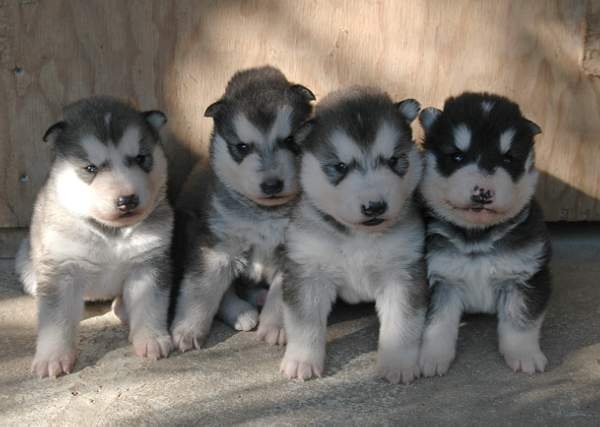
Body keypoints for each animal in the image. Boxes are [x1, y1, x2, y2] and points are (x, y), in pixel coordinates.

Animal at [14, 97, 173, 378]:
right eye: (90, 168)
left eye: (141, 158)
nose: (127, 200)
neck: (111, 233)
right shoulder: (62, 269)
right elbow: (56, 318)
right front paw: (53, 357)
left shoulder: (149, 263)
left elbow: (151, 303)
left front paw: (152, 339)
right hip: (27, 261)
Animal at [171, 64, 316, 352]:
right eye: (242, 147)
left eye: (290, 140)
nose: (272, 184)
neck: (265, 214)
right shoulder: (216, 246)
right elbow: (201, 289)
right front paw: (188, 329)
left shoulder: (294, 250)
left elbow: (282, 295)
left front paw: (276, 327)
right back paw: (241, 312)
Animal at [278, 87, 424, 384]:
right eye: (340, 166)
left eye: (394, 160)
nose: (374, 206)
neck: (358, 236)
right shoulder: (309, 269)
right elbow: (304, 322)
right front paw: (301, 360)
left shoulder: (402, 271)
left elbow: (403, 321)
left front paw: (398, 362)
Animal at [418, 93, 552, 378]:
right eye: (457, 156)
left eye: (508, 159)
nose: (483, 193)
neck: (477, 237)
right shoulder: (441, 279)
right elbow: (438, 322)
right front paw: (433, 357)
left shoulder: (525, 276)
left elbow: (520, 319)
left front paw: (524, 355)